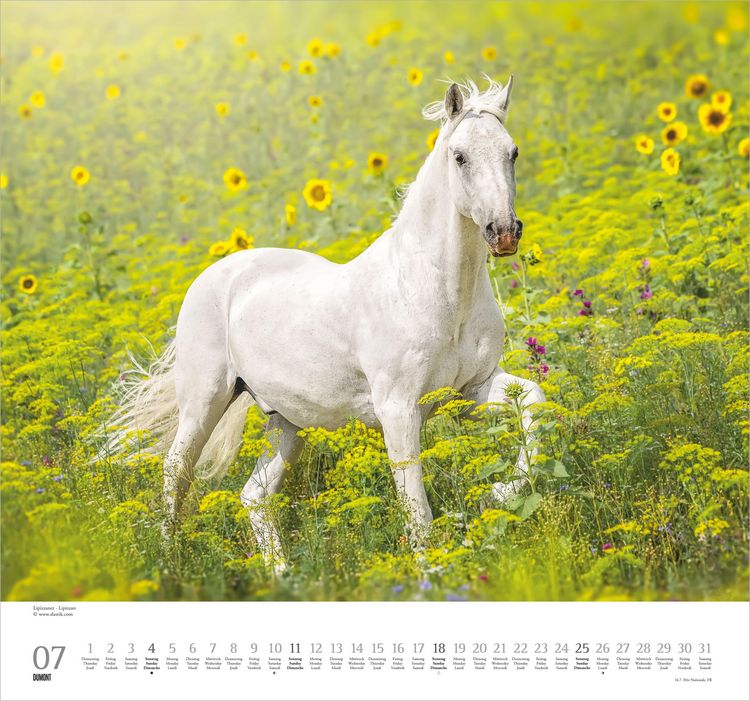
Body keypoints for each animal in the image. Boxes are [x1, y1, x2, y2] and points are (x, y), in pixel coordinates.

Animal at [112, 77, 546, 571]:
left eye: (513, 152)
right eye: (460, 157)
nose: (504, 232)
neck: (436, 291)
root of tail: (216, 275)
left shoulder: (469, 392)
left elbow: (533, 402)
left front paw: (501, 491)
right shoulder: (399, 408)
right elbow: (415, 502)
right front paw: (430, 570)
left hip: (286, 422)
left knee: (253, 495)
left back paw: (283, 573)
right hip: (204, 401)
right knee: (176, 471)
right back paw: (170, 564)